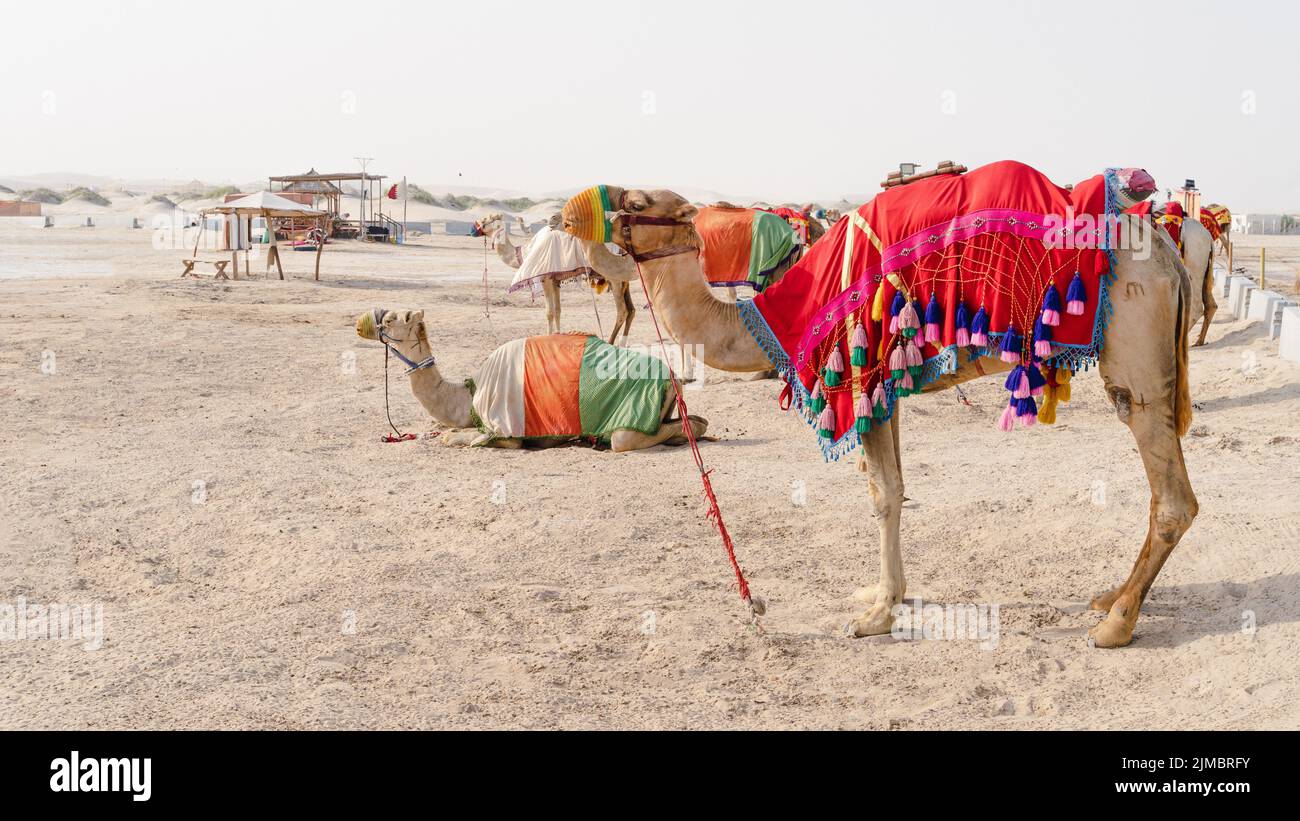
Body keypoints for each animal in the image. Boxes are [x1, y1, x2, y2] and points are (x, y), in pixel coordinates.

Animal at [353, 308, 707, 452]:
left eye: (390, 319)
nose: (360, 325)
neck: (467, 395)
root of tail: (673, 378)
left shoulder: (505, 428)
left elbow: (458, 438)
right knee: (697, 421)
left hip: (629, 422)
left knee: (628, 438)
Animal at [562, 182, 1197, 649]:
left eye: (637, 203)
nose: (570, 219)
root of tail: (1169, 254)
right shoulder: (885, 388)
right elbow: (892, 487)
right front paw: (882, 595)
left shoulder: (856, 372)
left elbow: (883, 493)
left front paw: (877, 616)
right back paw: (1109, 596)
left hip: (1133, 351)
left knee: (1172, 496)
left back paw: (1115, 624)